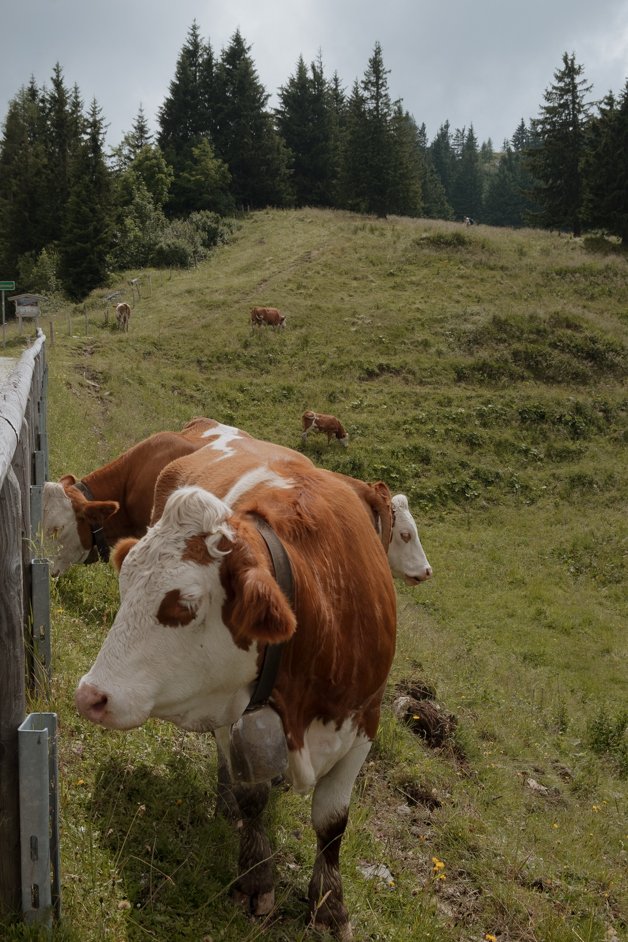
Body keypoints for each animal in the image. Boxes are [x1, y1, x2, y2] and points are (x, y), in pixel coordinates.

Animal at [75, 444, 398, 942]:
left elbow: (332, 821)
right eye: (124, 586)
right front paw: (255, 879)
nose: (90, 695)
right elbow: (253, 797)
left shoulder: (366, 719)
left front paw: (329, 906)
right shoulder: (232, 704)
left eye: (183, 605)